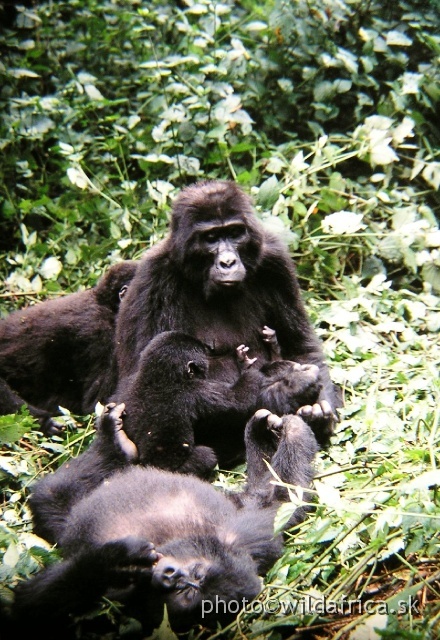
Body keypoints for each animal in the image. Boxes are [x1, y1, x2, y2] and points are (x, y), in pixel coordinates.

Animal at [4, 408, 320, 636]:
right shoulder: (246, 535)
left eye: (188, 592)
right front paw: (287, 433)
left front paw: (112, 561)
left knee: (49, 500)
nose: (171, 576)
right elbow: (280, 506)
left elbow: (30, 606)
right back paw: (112, 445)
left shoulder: (125, 606)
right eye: (197, 572)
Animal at [29, 330, 322, 544]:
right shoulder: (199, 392)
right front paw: (248, 366)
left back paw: (113, 441)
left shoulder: (125, 386)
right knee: (206, 457)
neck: (156, 375)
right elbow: (241, 397)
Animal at [114, 180, 340, 460]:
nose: (228, 262)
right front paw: (289, 390)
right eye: (211, 238)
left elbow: (302, 346)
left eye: (234, 233)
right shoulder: (152, 279)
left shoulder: (275, 261)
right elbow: (142, 389)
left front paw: (321, 411)